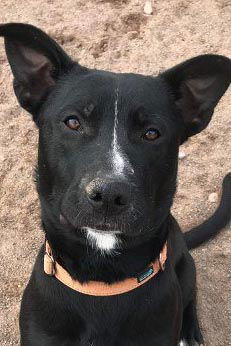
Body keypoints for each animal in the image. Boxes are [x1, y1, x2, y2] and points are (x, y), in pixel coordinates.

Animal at [0, 23, 231, 344]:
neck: (103, 279)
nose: (109, 194)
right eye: (72, 122)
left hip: (186, 267)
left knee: (190, 294)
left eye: (151, 133)